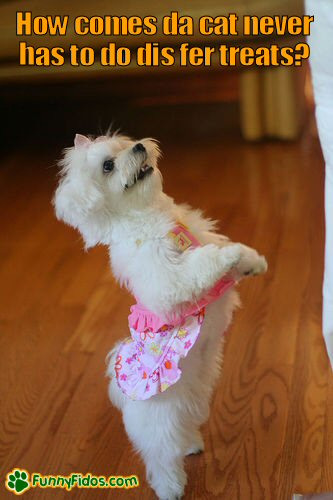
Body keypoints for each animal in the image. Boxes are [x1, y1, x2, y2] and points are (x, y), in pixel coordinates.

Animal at [54, 131, 268, 498]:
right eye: (108, 166)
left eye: (124, 145)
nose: (140, 146)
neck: (148, 214)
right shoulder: (164, 276)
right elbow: (203, 263)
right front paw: (230, 257)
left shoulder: (201, 232)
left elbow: (225, 250)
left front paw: (251, 261)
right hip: (159, 422)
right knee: (160, 456)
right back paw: (171, 487)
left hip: (194, 397)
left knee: (186, 427)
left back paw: (193, 444)